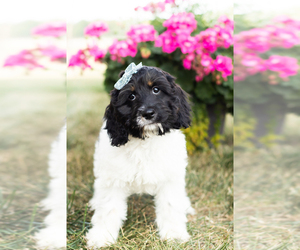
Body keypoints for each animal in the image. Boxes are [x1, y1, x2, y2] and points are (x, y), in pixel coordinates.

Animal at [85, 63, 196, 247]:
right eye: (131, 96)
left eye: (156, 90)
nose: (148, 113)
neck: (145, 140)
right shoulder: (112, 179)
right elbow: (108, 207)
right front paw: (102, 236)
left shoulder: (170, 177)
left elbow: (171, 205)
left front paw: (174, 234)